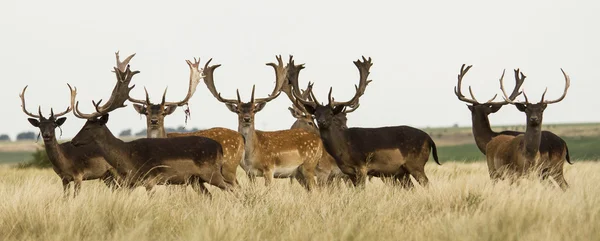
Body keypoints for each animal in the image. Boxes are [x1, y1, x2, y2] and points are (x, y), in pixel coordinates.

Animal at [68, 51, 232, 195]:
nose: (73, 141)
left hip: (211, 174)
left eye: (88, 127)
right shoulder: (131, 183)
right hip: (197, 179)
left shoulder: (150, 180)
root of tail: (219, 147)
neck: (126, 157)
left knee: (233, 189)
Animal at [202, 55, 324, 191]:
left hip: (309, 165)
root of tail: (319, 141)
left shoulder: (269, 168)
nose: (247, 118)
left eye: (254, 109)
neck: (251, 155)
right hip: (299, 172)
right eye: (238, 110)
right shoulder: (249, 173)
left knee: (316, 189)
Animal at [296, 57, 440, 188]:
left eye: (331, 114)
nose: (321, 122)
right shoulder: (349, 172)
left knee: (428, 185)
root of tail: (430, 139)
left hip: (416, 164)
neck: (343, 148)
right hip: (402, 172)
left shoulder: (362, 167)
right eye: (315, 114)